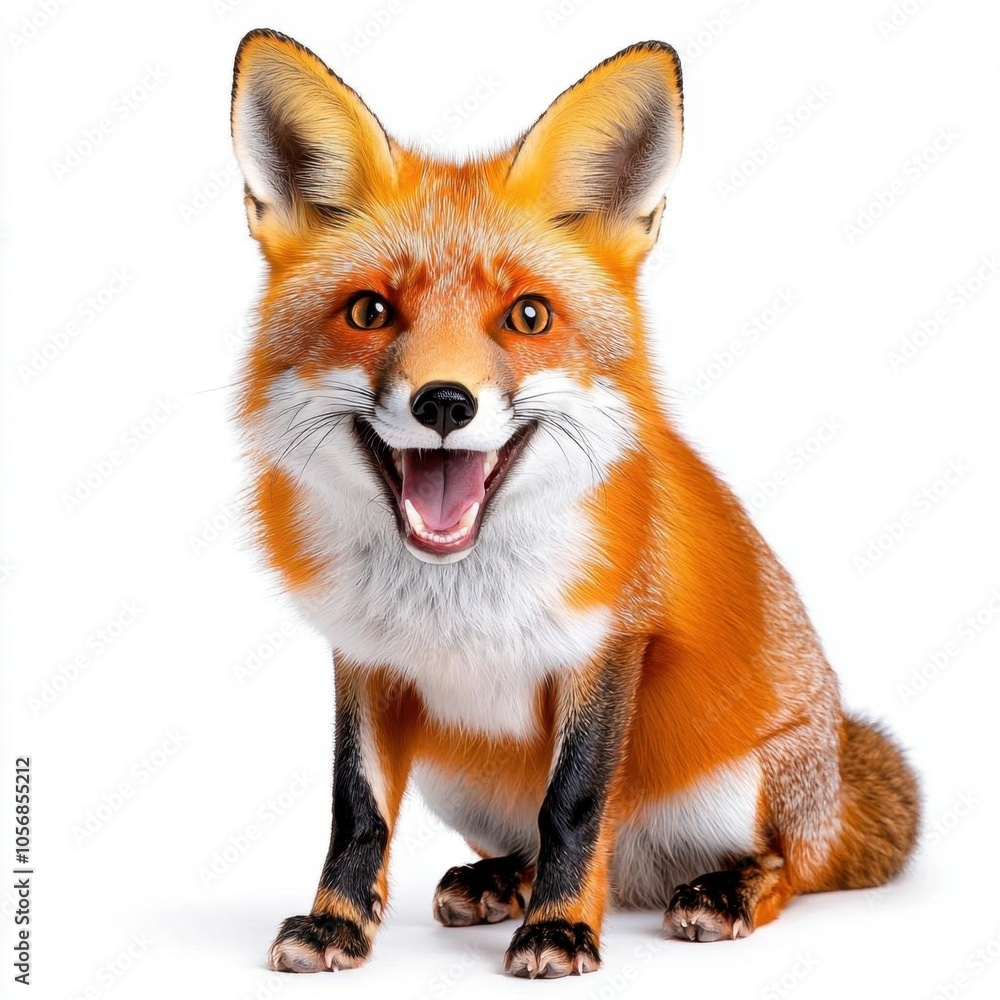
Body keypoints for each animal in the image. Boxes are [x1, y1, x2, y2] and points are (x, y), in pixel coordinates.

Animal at [229, 30, 920, 979]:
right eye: (369, 311)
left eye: (528, 316)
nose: (444, 403)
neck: (453, 596)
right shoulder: (366, 658)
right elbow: (356, 809)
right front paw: (338, 924)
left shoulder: (610, 646)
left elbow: (577, 805)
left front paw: (559, 929)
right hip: (458, 776)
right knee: (526, 837)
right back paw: (499, 880)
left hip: (749, 785)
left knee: (793, 863)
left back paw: (721, 890)